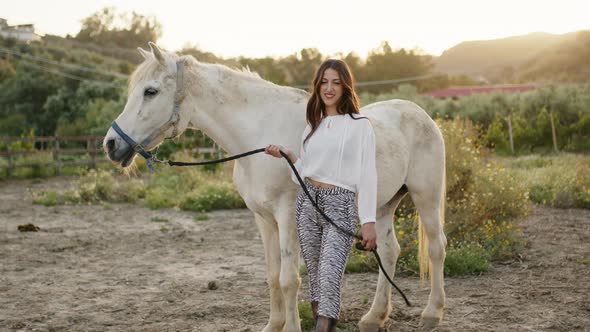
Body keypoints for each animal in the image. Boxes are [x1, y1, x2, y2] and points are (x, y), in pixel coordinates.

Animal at [103, 42, 448, 330]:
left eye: (150, 91)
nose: (111, 144)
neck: (258, 135)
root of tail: (420, 114)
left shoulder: (287, 216)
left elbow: (289, 279)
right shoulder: (263, 218)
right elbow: (271, 276)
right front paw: (273, 325)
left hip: (426, 198)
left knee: (436, 247)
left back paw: (432, 314)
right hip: (382, 205)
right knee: (389, 251)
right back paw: (374, 318)